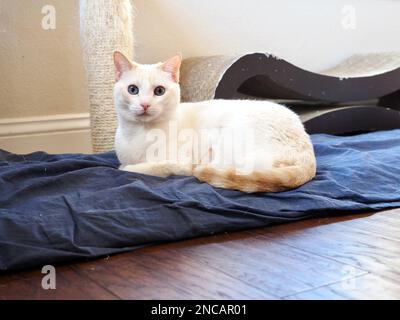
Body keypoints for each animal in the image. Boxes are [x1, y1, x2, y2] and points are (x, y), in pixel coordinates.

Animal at [112, 51, 316, 191]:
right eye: (133, 90)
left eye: (159, 91)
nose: (145, 104)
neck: (140, 134)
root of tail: (308, 153)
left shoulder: (180, 163)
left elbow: (132, 168)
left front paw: (128, 167)